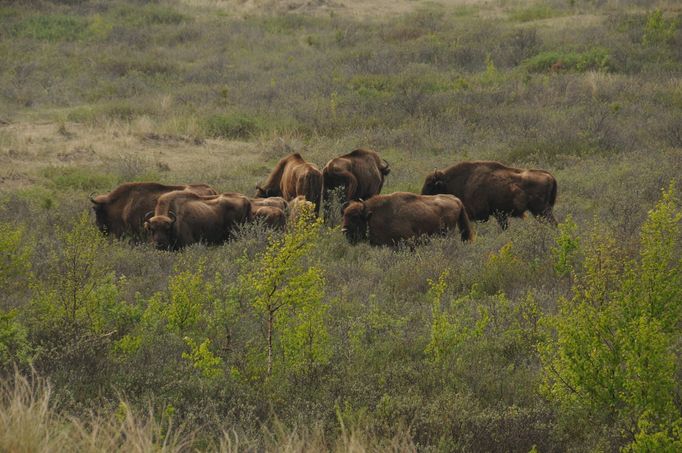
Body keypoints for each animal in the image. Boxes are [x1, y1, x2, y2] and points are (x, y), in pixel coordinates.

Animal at [420, 160, 556, 230]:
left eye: (430, 185)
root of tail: (549, 176)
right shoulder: (499, 215)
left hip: (541, 210)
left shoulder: (480, 215)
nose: (422, 197)